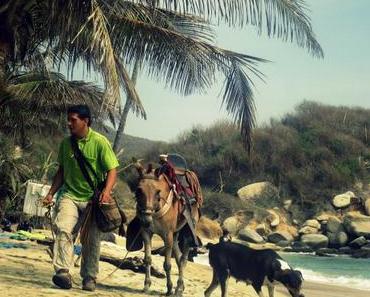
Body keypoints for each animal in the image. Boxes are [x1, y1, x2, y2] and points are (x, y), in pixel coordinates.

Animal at [135, 164, 201, 296]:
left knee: (183, 260)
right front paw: (146, 285)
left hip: (187, 231)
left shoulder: (167, 235)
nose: (146, 220)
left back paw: (179, 288)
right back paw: (180, 287)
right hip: (175, 235)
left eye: (157, 191)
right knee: (179, 258)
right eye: (139, 190)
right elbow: (147, 259)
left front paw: (169, 288)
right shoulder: (146, 232)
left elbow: (167, 264)